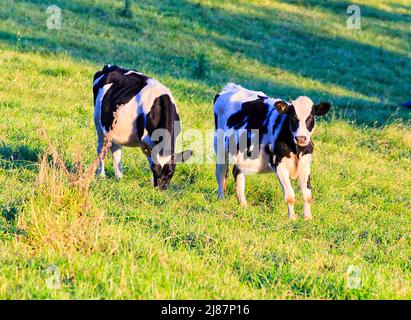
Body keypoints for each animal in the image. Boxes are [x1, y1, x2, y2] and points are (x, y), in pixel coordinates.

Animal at [216, 82, 332, 220]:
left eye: (311, 117)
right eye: (292, 117)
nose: (301, 138)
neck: (296, 149)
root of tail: (231, 86)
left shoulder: (305, 165)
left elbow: (307, 194)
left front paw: (308, 218)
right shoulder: (279, 165)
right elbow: (290, 195)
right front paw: (292, 218)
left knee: (237, 171)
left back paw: (243, 204)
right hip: (219, 145)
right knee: (221, 172)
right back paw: (221, 199)